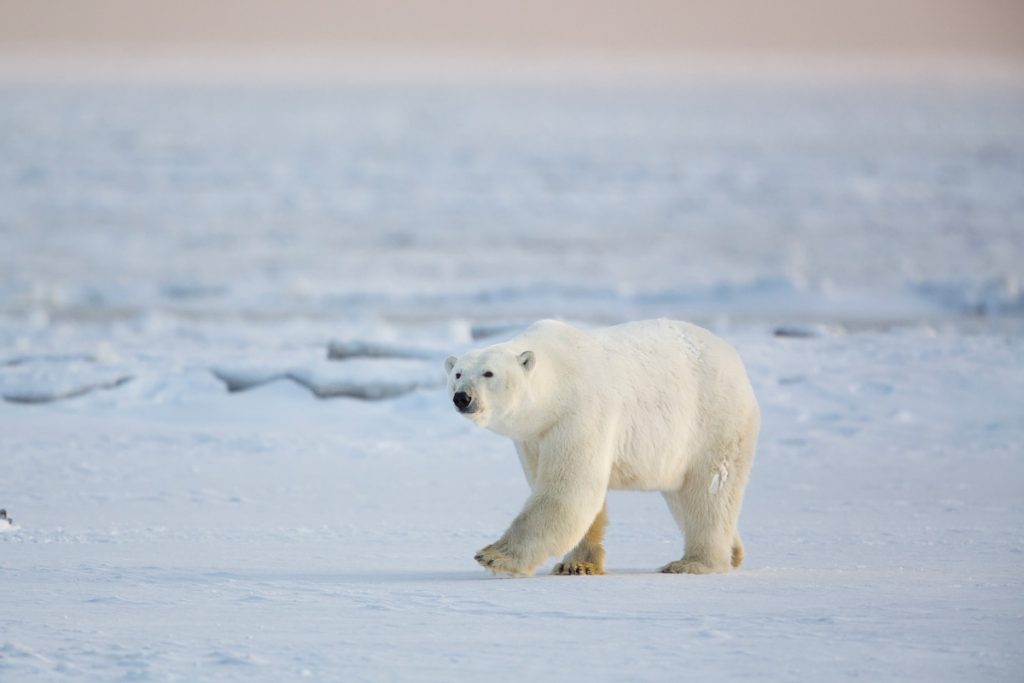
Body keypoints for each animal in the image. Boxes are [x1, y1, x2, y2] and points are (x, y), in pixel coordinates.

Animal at [444, 319, 757, 577]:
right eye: (458, 374)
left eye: (488, 373)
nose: (462, 397)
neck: (557, 379)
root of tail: (733, 357)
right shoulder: (534, 436)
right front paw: (577, 565)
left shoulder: (580, 413)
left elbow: (566, 490)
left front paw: (494, 556)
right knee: (684, 497)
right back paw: (734, 552)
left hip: (712, 421)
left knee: (709, 494)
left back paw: (693, 563)